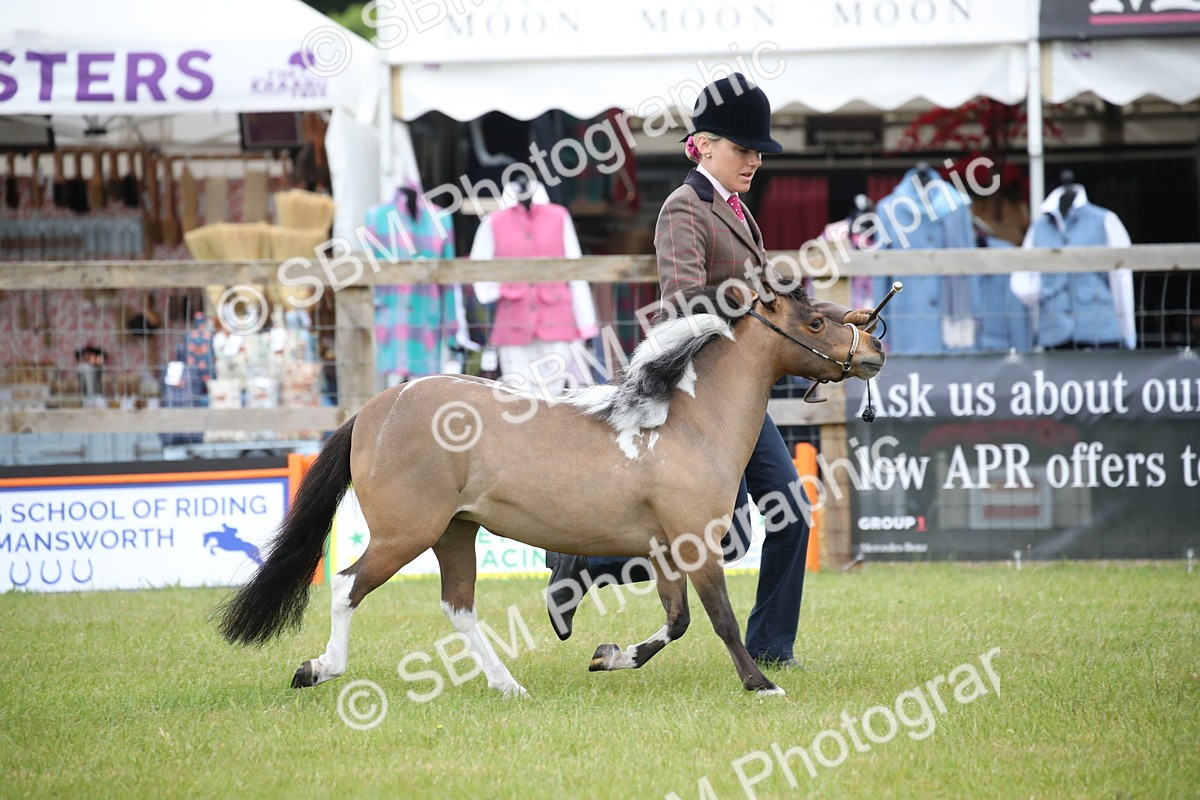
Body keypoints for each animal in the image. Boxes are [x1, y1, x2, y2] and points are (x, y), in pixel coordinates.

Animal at [216, 285, 885, 697]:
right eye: (815, 321)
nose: (875, 347)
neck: (687, 422)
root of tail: (374, 410)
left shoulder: (665, 550)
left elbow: (676, 622)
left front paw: (609, 655)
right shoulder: (696, 544)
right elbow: (719, 619)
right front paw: (762, 684)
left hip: (455, 532)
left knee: (458, 606)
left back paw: (508, 684)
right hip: (406, 533)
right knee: (347, 585)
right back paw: (318, 668)